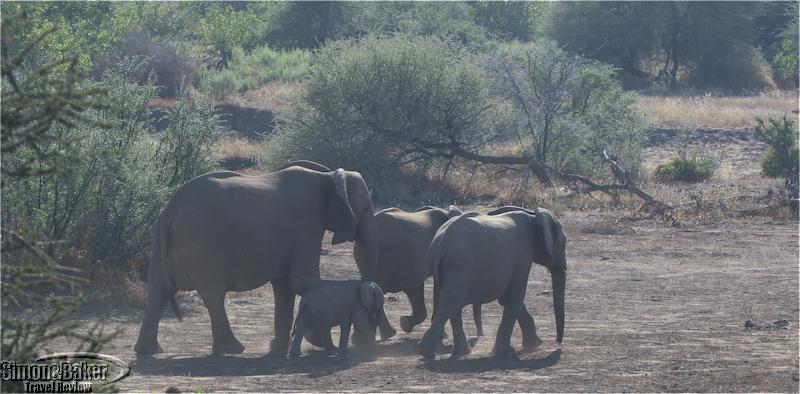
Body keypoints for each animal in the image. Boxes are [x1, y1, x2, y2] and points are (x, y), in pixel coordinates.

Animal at [134, 160, 378, 358]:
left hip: (160, 240)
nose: (360, 341)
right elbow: (304, 282)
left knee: (158, 289)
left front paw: (277, 348)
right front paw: (317, 341)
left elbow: (284, 287)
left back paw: (148, 351)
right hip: (202, 244)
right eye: (366, 208)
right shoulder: (307, 226)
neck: (328, 177)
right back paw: (233, 349)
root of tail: (171, 208)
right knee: (212, 293)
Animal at [416, 208, 564, 358]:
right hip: (460, 266)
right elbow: (514, 297)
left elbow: (507, 298)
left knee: (451, 305)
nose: (558, 343)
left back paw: (458, 352)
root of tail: (440, 243)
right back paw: (427, 352)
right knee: (452, 303)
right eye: (562, 244)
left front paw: (534, 345)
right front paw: (508, 351)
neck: (533, 217)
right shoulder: (523, 254)